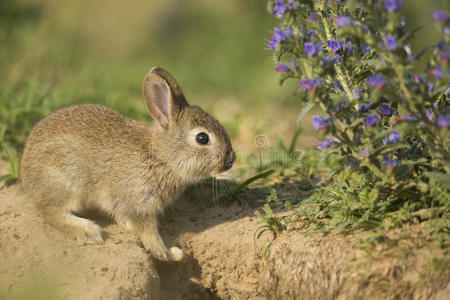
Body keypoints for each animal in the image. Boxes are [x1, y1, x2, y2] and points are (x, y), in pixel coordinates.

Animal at [18, 67, 236, 262]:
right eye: (202, 138)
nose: (231, 159)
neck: (161, 157)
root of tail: (25, 173)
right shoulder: (139, 204)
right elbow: (150, 237)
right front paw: (173, 254)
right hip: (67, 179)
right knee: (49, 209)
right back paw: (88, 231)